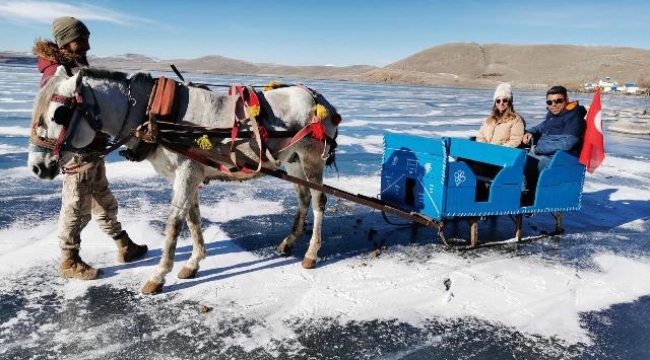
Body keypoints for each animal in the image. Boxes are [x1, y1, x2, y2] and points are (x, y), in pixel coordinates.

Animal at [26, 66, 340, 294]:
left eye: (60, 113)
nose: (37, 168)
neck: (154, 114)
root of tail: (321, 101)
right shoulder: (189, 175)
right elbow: (192, 218)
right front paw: (193, 263)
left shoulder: (187, 173)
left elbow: (174, 222)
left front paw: (158, 276)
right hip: (293, 160)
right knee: (303, 197)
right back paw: (289, 241)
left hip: (312, 158)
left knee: (319, 200)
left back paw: (311, 253)